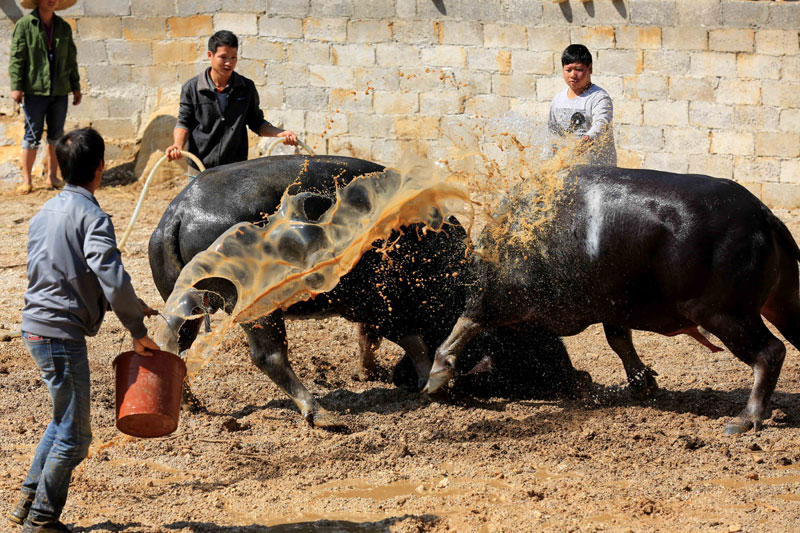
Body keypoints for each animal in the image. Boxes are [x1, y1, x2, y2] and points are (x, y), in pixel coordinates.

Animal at [150, 154, 584, 428]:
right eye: (524, 329)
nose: (578, 376)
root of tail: (179, 211)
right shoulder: (381, 303)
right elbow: (410, 340)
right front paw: (431, 388)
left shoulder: (369, 309)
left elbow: (377, 338)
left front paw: (373, 374)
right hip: (254, 308)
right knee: (267, 356)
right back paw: (325, 417)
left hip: (191, 301)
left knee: (174, 344)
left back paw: (193, 406)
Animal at [428, 165, 800, 432]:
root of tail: (763, 215)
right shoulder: (613, 308)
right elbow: (619, 340)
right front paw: (643, 384)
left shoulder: (499, 300)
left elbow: (466, 322)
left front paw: (437, 376)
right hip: (781, 304)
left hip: (724, 314)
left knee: (770, 352)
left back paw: (745, 419)